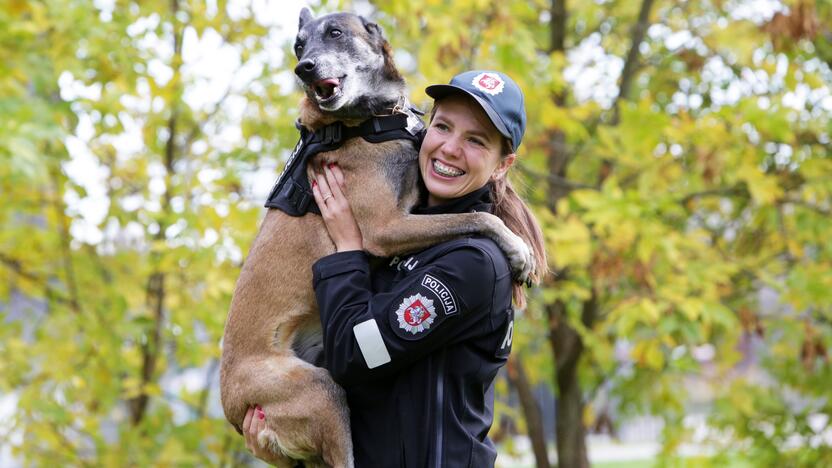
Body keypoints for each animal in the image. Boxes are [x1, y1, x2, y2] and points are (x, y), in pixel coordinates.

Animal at [221, 8, 532, 468]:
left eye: (335, 33)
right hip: (322, 392)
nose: (303, 68)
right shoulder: (386, 227)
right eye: (299, 45)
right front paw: (519, 250)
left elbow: (470, 212)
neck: (362, 122)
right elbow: (478, 215)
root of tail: (232, 406)